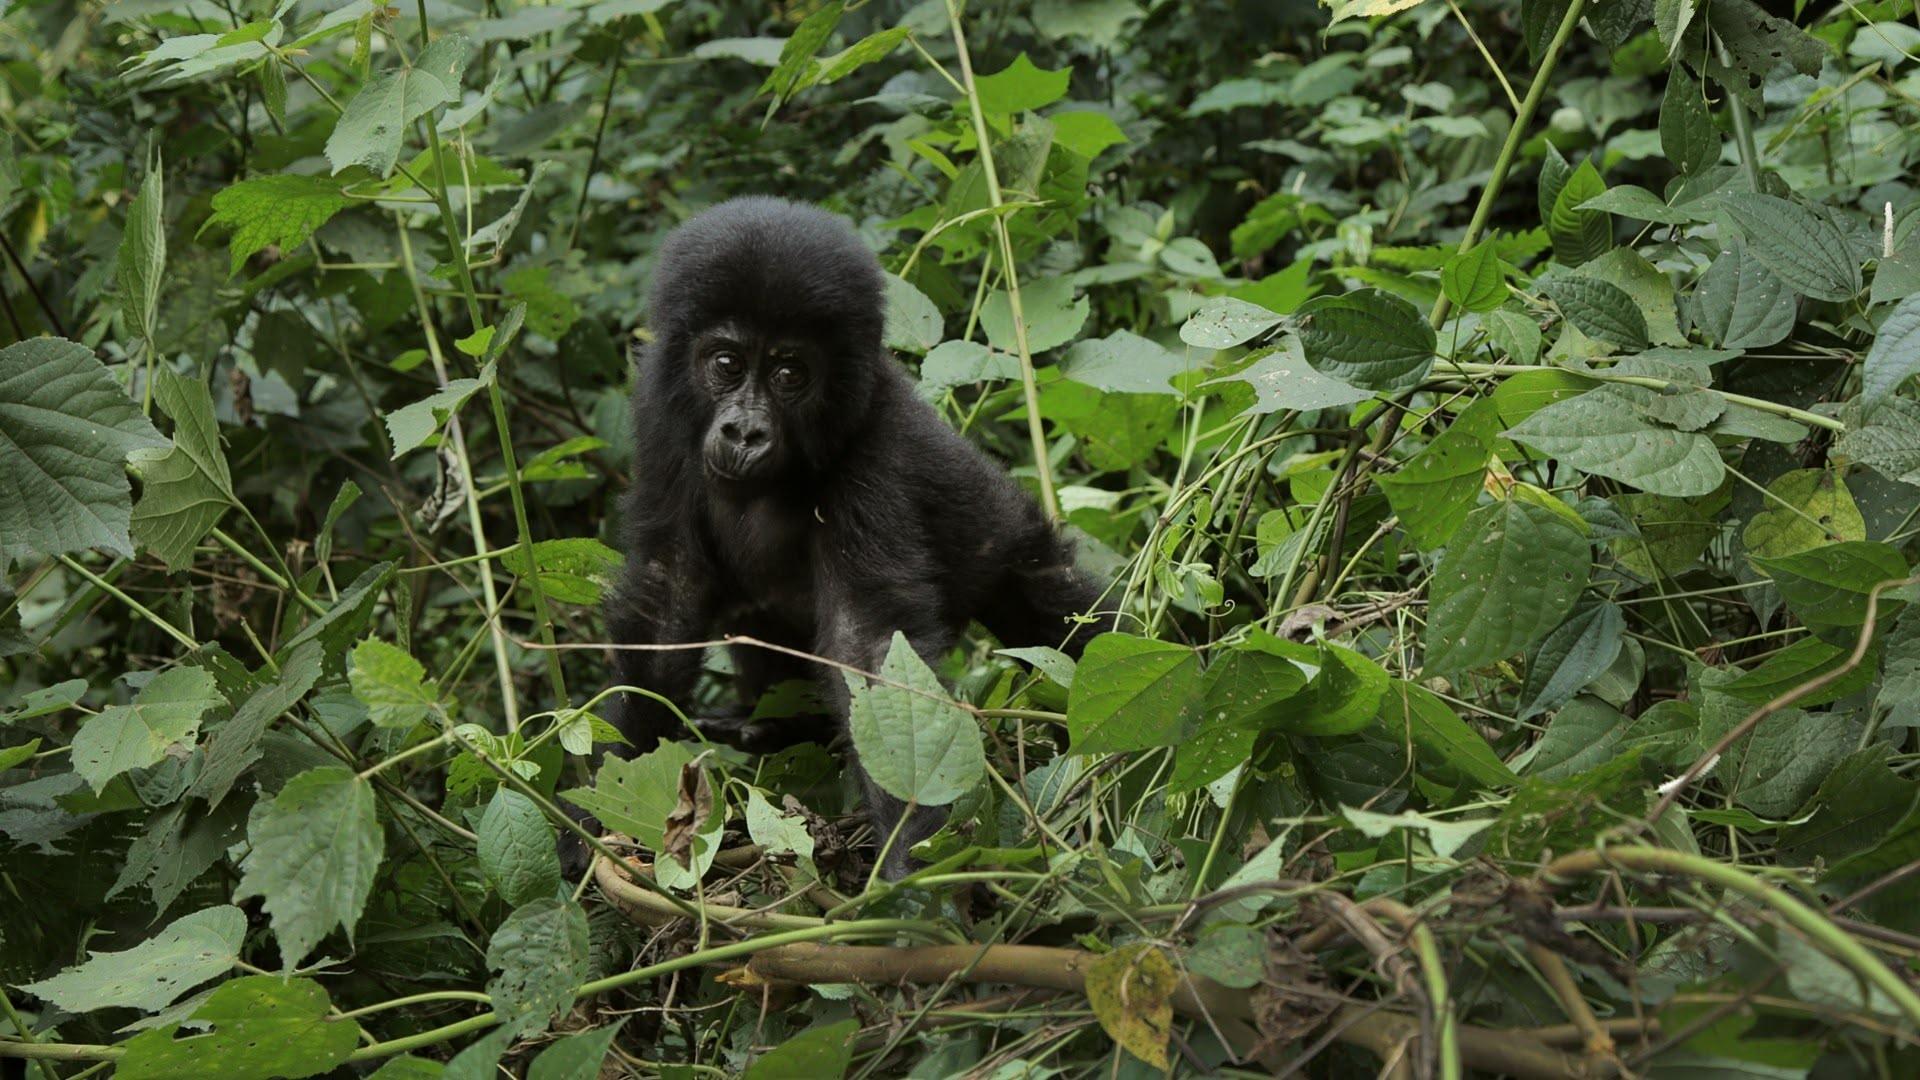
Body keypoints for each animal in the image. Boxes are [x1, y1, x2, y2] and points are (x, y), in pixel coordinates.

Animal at [599, 197, 1113, 880]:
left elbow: (868, 649)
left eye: (790, 373)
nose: (744, 432)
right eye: (726, 364)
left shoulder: (876, 447)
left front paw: (905, 872)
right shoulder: (659, 414)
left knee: (1070, 622)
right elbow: (668, 599)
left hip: (1015, 546)